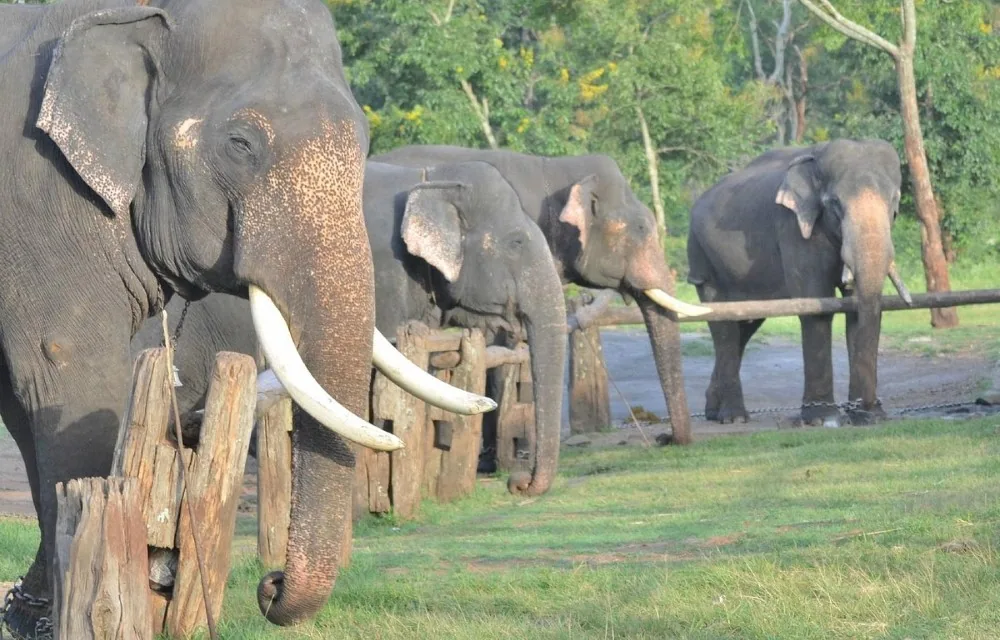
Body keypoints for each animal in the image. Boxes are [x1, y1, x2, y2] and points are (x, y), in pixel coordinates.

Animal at [0, 0, 487, 633]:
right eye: (241, 143)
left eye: (363, 144)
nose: (270, 584)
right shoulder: (39, 200)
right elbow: (68, 378)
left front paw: (28, 614)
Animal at [686, 139, 912, 427]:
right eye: (835, 203)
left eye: (894, 202)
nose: (870, 408)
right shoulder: (793, 227)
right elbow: (815, 302)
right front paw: (822, 420)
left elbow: (855, 310)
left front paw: (867, 418)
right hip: (702, 258)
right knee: (723, 324)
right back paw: (734, 418)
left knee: (744, 325)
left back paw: (714, 412)